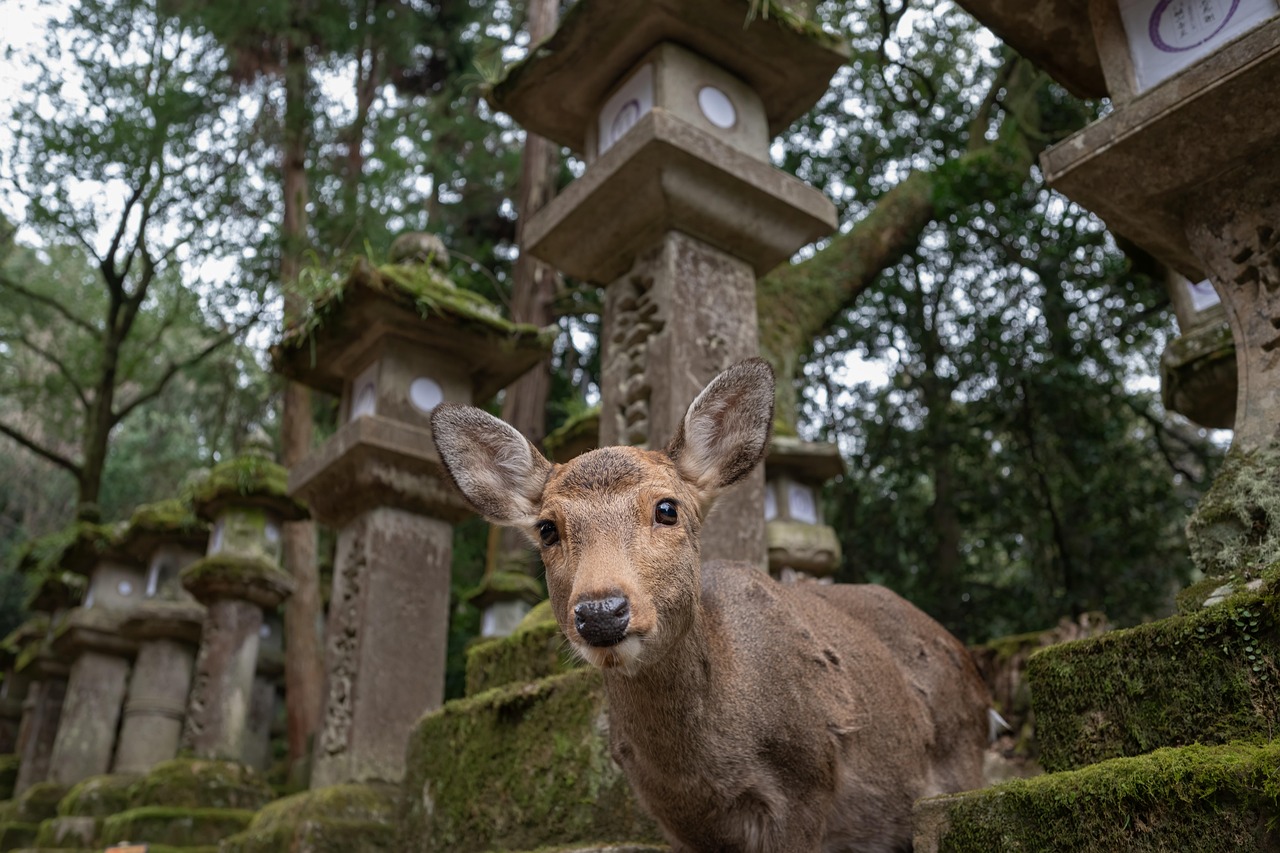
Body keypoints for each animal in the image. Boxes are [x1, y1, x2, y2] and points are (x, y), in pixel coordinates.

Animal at [431, 358, 990, 853]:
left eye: (667, 508)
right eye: (547, 528)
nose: (601, 612)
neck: (707, 773)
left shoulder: (809, 780)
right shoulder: (673, 820)